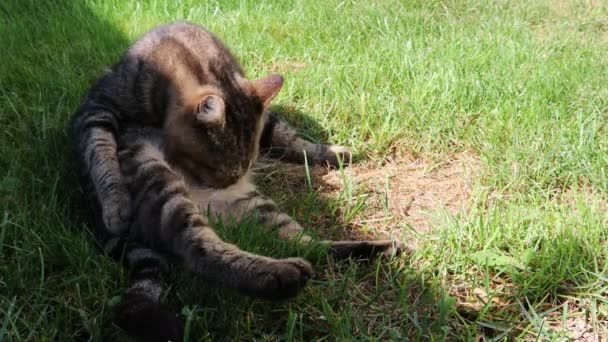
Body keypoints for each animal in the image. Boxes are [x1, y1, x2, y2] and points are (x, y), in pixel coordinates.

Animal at [71, 22, 402, 340]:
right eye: (217, 168)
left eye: (237, 170)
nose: (225, 184)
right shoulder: (99, 107)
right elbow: (98, 146)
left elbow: (288, 136)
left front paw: (329, 152)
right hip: (161, 185)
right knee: (197, 249)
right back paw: (281, 277)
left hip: (261, 208)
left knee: (308, 245)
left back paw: (378, 249)